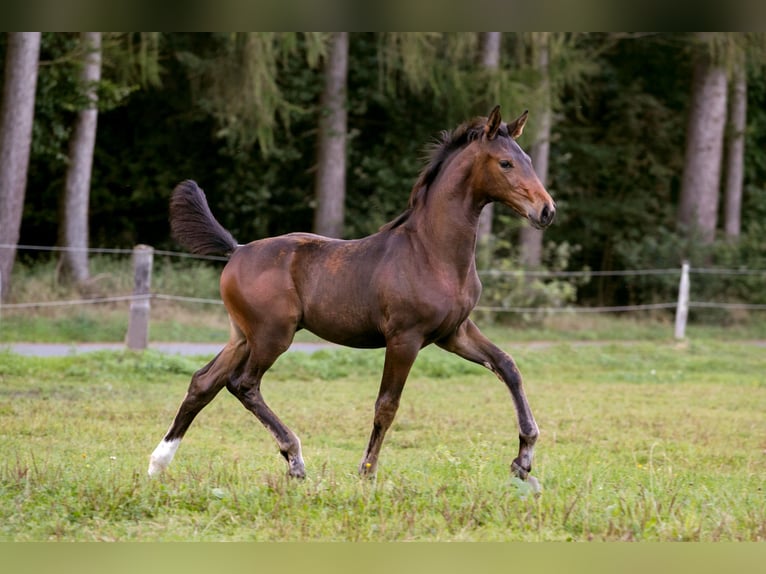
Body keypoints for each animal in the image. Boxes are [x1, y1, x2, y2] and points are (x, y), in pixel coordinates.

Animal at [148, 107, 560, 486]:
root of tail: (236, 250)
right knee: (243, 384)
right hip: (272, 336)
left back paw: (158, 463)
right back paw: (295, 458)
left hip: (243, 336)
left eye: (527, 159)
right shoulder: (405, 338)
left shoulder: (453, 332)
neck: (432, 252)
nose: (546, 211)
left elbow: (507, 366)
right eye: (506, 163)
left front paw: (523, 460)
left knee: (203, 382)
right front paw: (367, 472)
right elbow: (387, 405)